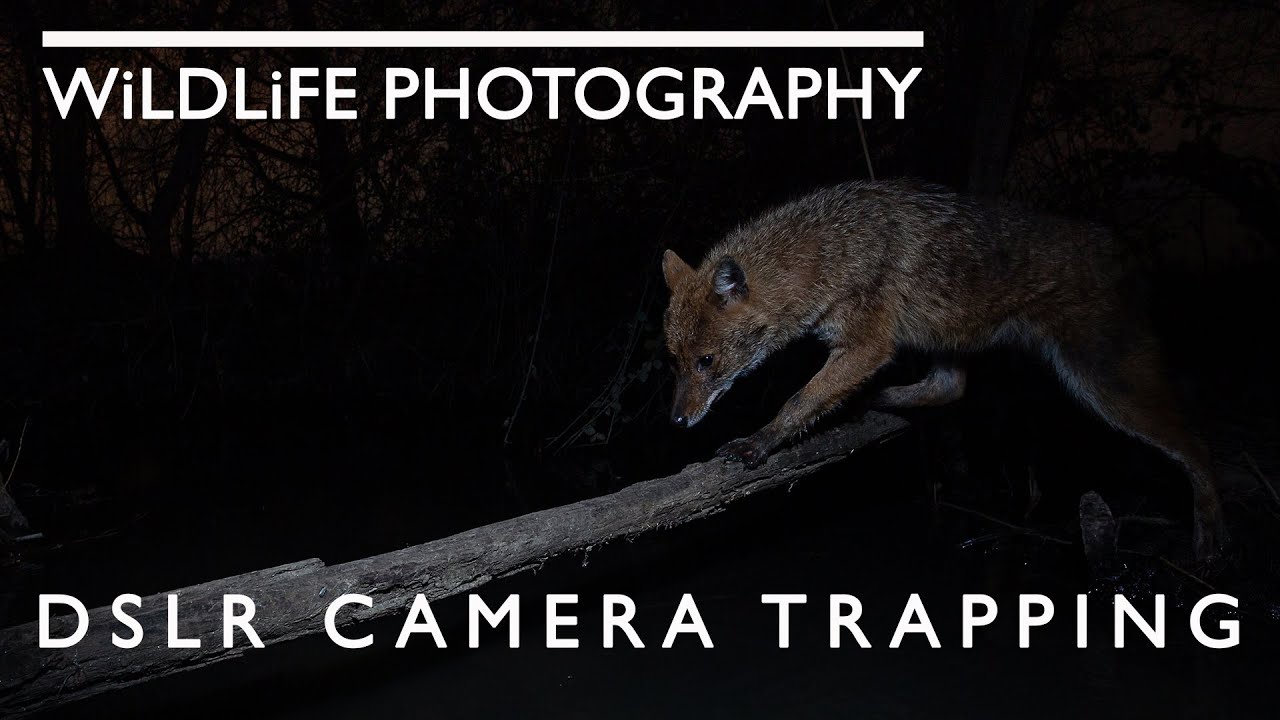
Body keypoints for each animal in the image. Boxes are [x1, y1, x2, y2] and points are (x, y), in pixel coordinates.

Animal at [661, 179, 1226, 562]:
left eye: (706, 362)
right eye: (676, 361)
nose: (676, 422)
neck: (830, 251)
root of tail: (1121, 248)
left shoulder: (868, 346)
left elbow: (798, 400)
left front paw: (760, 442)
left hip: (1105, 386)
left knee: (1197, 445)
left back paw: (1210, 537)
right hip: (954, 339)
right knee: (951, 388)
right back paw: (878, 402)